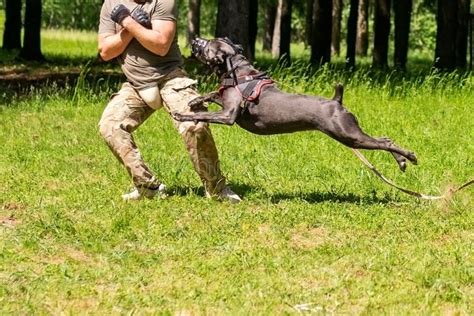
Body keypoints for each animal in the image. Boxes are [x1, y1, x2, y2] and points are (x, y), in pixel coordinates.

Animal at [172, 38, 416, 172]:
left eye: (208, 44)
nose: (194, 39)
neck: (237, 72)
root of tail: (337, 101)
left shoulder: (229, 114)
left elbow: (205, 115)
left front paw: (182, 115)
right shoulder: (224, 99)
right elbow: (213, 93)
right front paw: (194, 100)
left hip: (347, 133)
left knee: (383, 142)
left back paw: (409, 157)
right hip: (348, 133)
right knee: (384, 139)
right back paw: (402, 161)